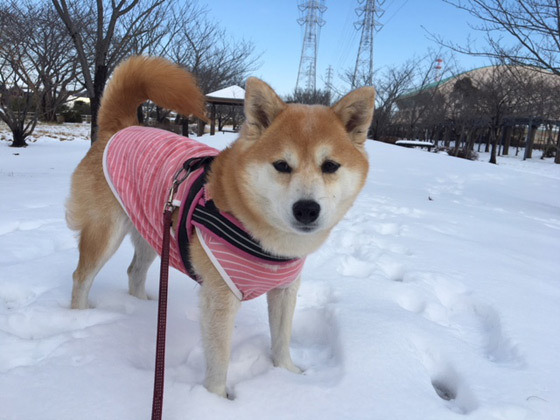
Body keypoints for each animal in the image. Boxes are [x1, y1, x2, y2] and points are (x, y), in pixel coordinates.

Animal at [66, 55, 376, 398]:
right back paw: (79, 317)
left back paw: (145, 308)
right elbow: (219, 358)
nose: (307, 209)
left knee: (134, 271)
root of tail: (120, 128)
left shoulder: (285, 290)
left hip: (152, 230)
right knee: (81, 276)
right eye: (282, 165)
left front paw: (287, 375)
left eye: (330, 166)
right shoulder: (220, 297)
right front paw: (214, 399)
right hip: (105, 232)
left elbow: (281, 340)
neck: (263, 237)